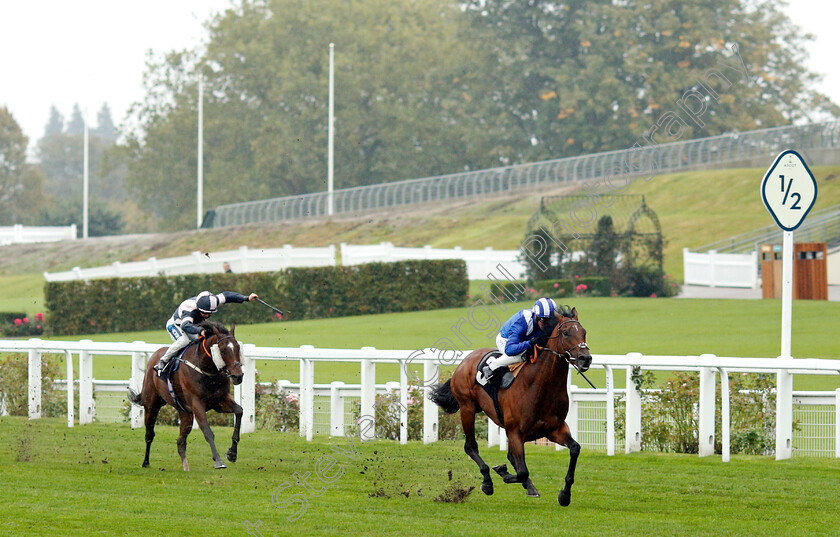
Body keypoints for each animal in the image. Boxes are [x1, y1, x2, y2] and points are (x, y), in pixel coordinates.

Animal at [128, 318, 244, 468]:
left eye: (238, 348)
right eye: (223, 350)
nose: (238, 376)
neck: (206, 369)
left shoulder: (219, 401)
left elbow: (239, 411)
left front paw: (232, 453)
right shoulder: (197, 404)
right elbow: (207, 431)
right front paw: (219, 461)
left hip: (185, 412)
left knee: (180, 441)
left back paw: (185, 466)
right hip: (151, 405)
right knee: (149, 434)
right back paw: (146, 462)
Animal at [430, 304, 592, 504]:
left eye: (584, 332)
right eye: (566, 333)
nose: (585, 358)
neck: (540, 386)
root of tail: (465, 361)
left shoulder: (554, 429)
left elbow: (575, 449)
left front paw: (565, 494)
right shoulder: (515, 431)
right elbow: (522, 472)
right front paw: (502, 472)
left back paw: (528, 486)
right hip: (467, 408)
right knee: (470, 446)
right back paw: (488, 481)